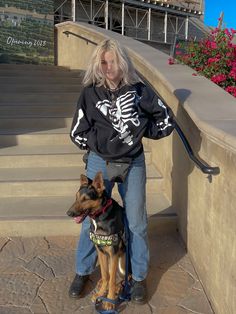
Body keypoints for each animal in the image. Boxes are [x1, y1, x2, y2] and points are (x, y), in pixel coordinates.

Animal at [66, 173, 125, 310]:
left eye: (85, 199)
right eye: (76, 197)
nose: (68, 213)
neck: (100, 216)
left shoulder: (114, 253)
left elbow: (111, 279)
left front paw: (110, 300)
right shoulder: (101, 251)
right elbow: (105, 275)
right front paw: (101, 293)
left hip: (122, 261)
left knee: (122, 279)